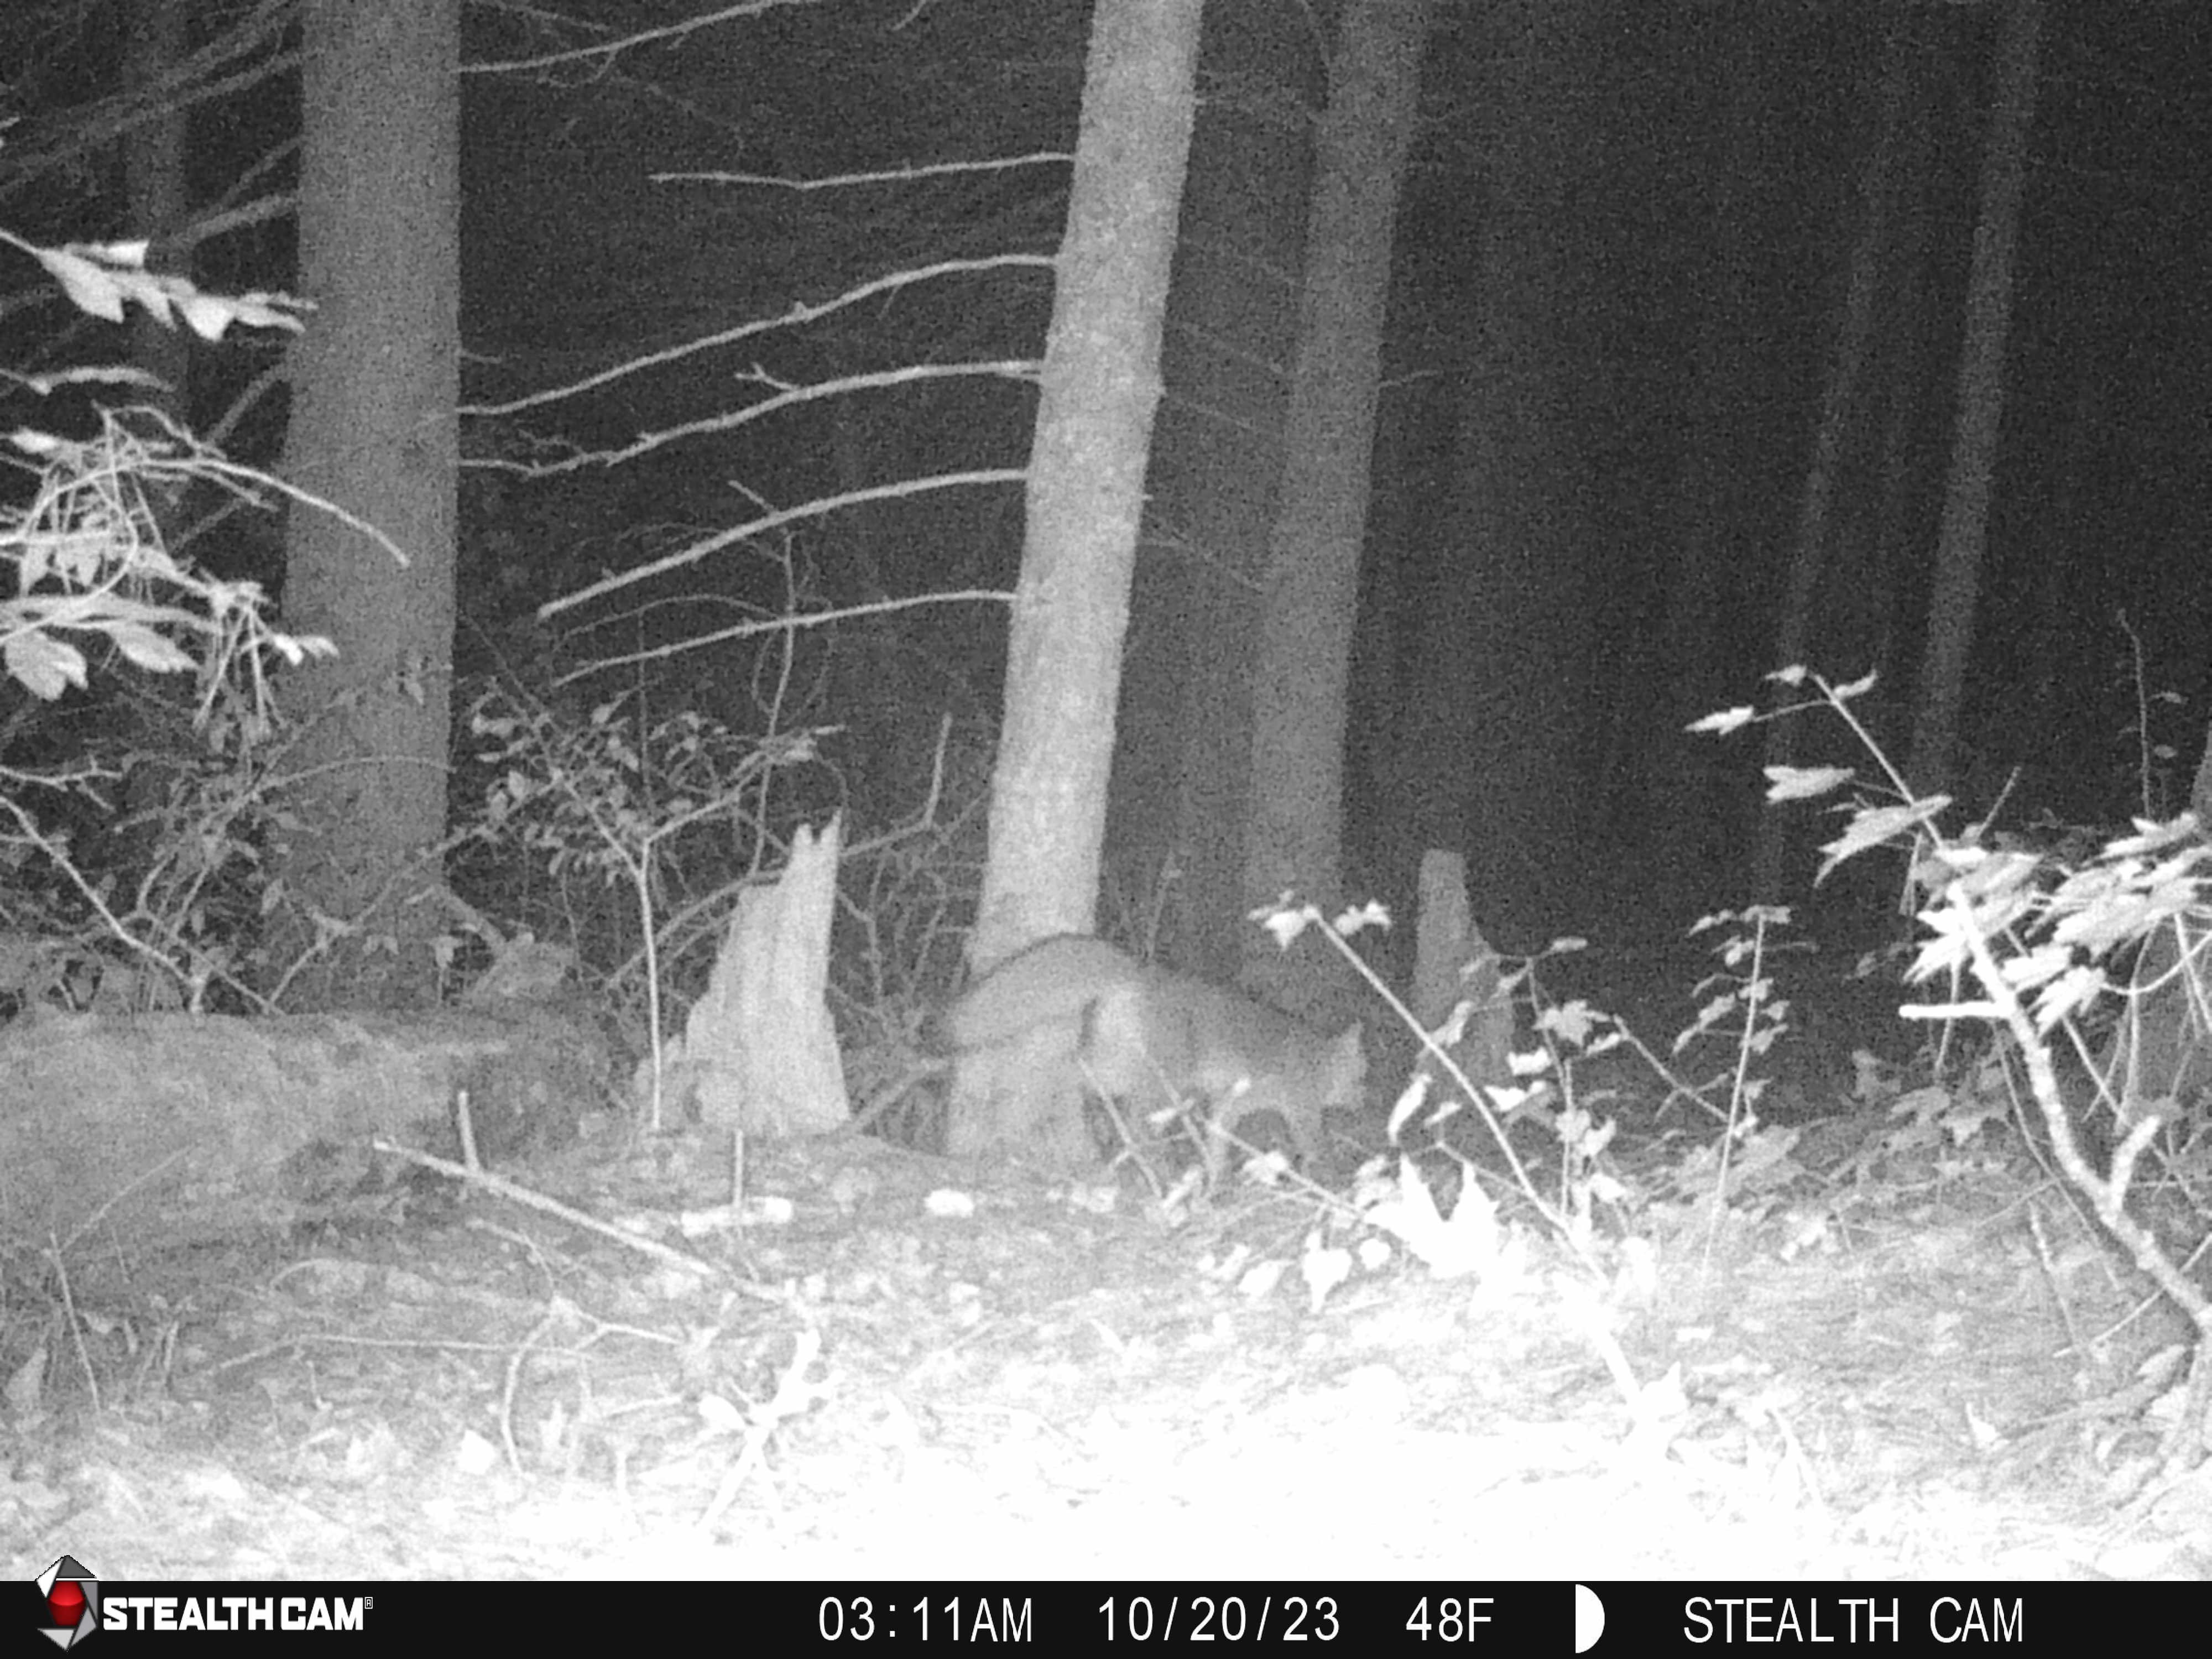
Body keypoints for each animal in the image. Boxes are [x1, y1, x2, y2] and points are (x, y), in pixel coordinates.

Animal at [938, 934, 1366, 1172]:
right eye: (1364, 1078)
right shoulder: (1301, 1112)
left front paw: (1215, 1183)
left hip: (1112, 1071)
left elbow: (1217, 1148)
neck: (1316, 1060)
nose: (1367, 1101)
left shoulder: (1227, 1107)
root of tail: (1141, 971)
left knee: (1060, 1076)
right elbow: (1316, 1149)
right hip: (1161, 1088)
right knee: (1134, 1123)